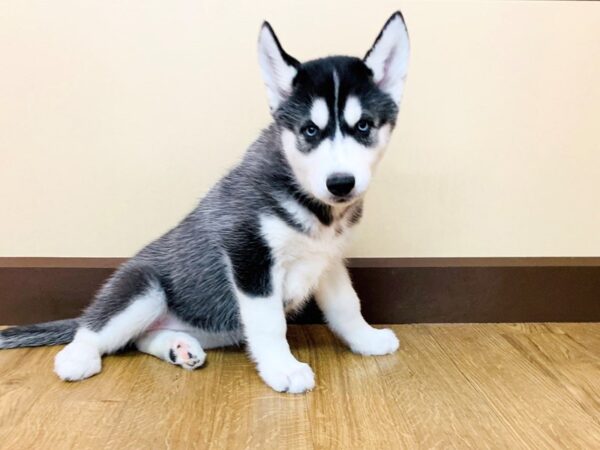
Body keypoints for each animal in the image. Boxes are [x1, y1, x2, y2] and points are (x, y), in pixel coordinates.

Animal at [0, 11, 410, 394]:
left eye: (364, 126)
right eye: (310, 130)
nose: (340, 183)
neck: (315, 208)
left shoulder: (328, 260)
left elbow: (346, 305)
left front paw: (366, 339)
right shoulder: (248, 254)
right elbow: (270, 323)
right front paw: (283, 368)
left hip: (211, 325)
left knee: (140, 338)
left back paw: (179, 347)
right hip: (143, 289)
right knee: (93, 329)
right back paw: (76, 357)